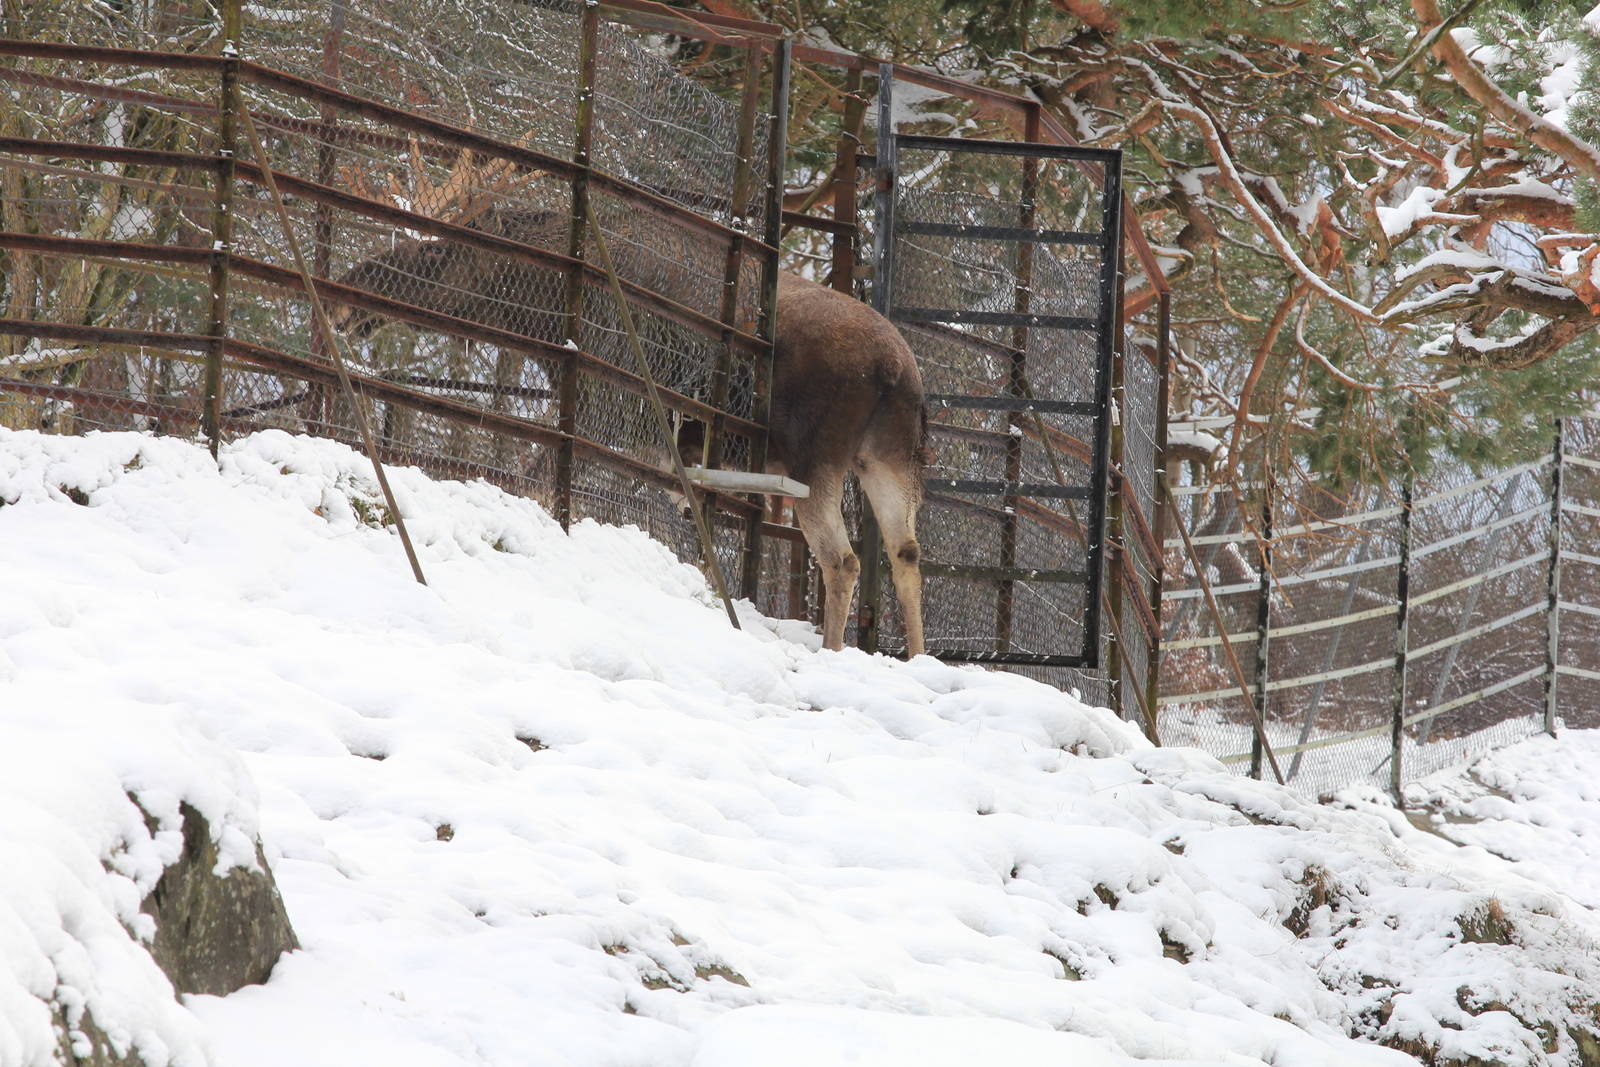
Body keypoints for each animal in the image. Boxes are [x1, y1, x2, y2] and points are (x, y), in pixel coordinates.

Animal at [326, 154, 929, 657]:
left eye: (435, 247)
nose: (346, 300)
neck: (544, 309)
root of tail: (895, 370)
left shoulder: (607, 411)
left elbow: (537, 484)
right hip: (888, 457)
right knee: (905, 552)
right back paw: (917, 658)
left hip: (815, 457)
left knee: (843, 559)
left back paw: (833, 652)